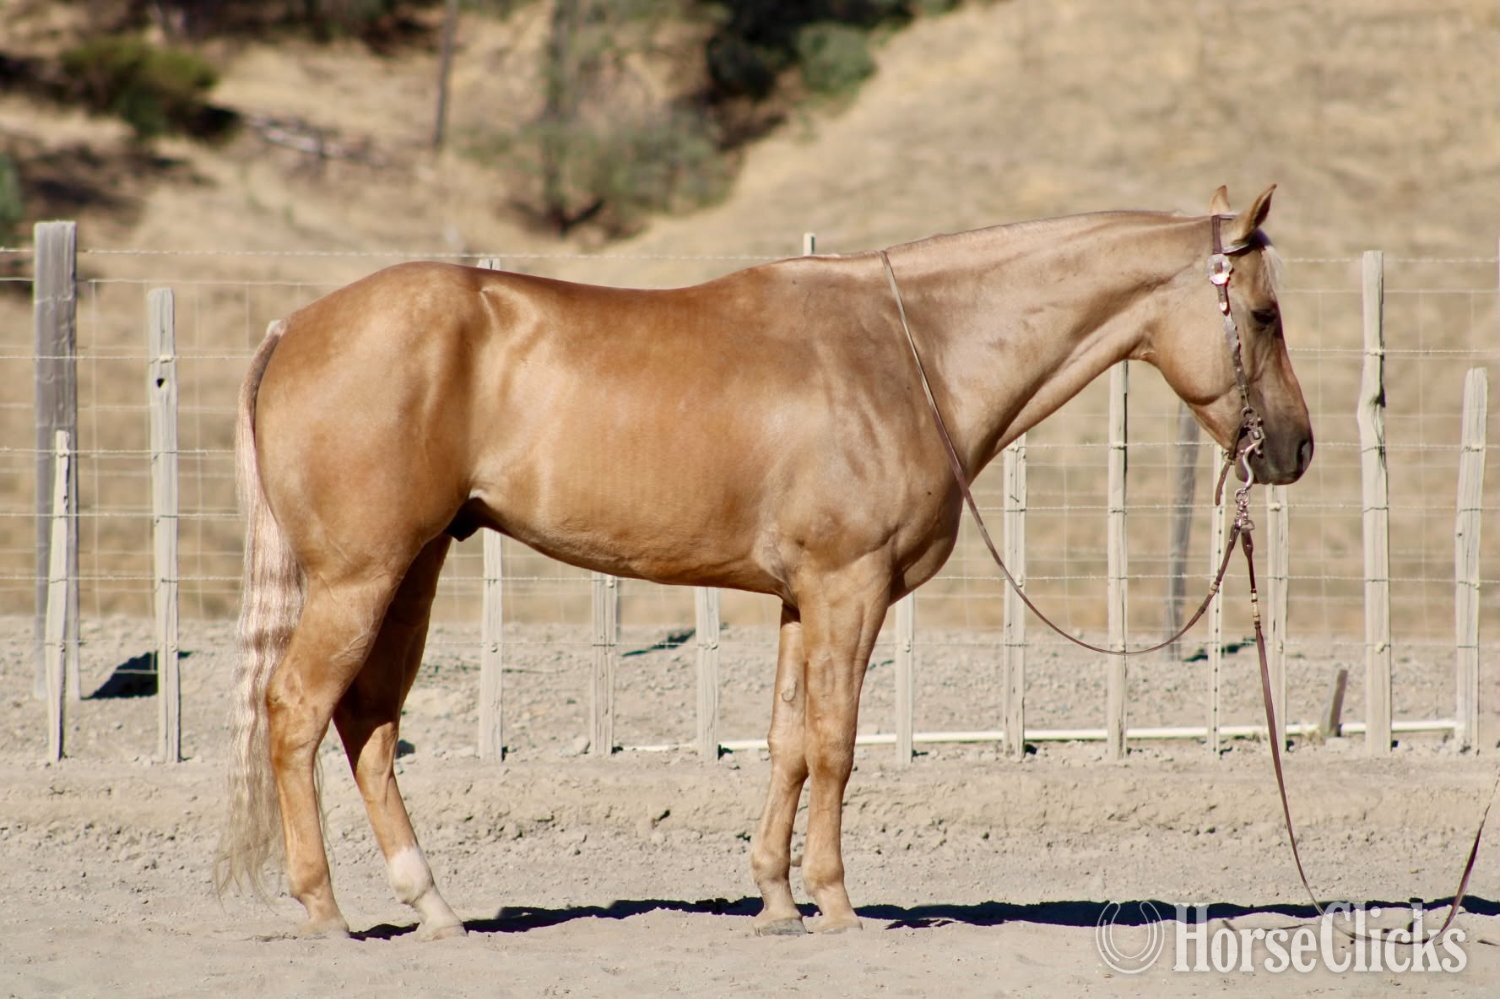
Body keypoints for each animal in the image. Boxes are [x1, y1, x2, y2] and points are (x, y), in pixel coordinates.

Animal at [217, 185, 1312, 939]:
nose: (1295, 449)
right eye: (1264, 315)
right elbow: (835, 743)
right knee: (298, 711)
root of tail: (295, 326)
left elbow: (788, 741)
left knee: (366, 724)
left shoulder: (802, 599)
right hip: (362, 576)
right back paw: (326, 909)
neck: (911, 352)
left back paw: (432, 904)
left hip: (412, 572)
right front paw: (837, 902)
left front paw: (777, 898)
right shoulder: (848, 588)